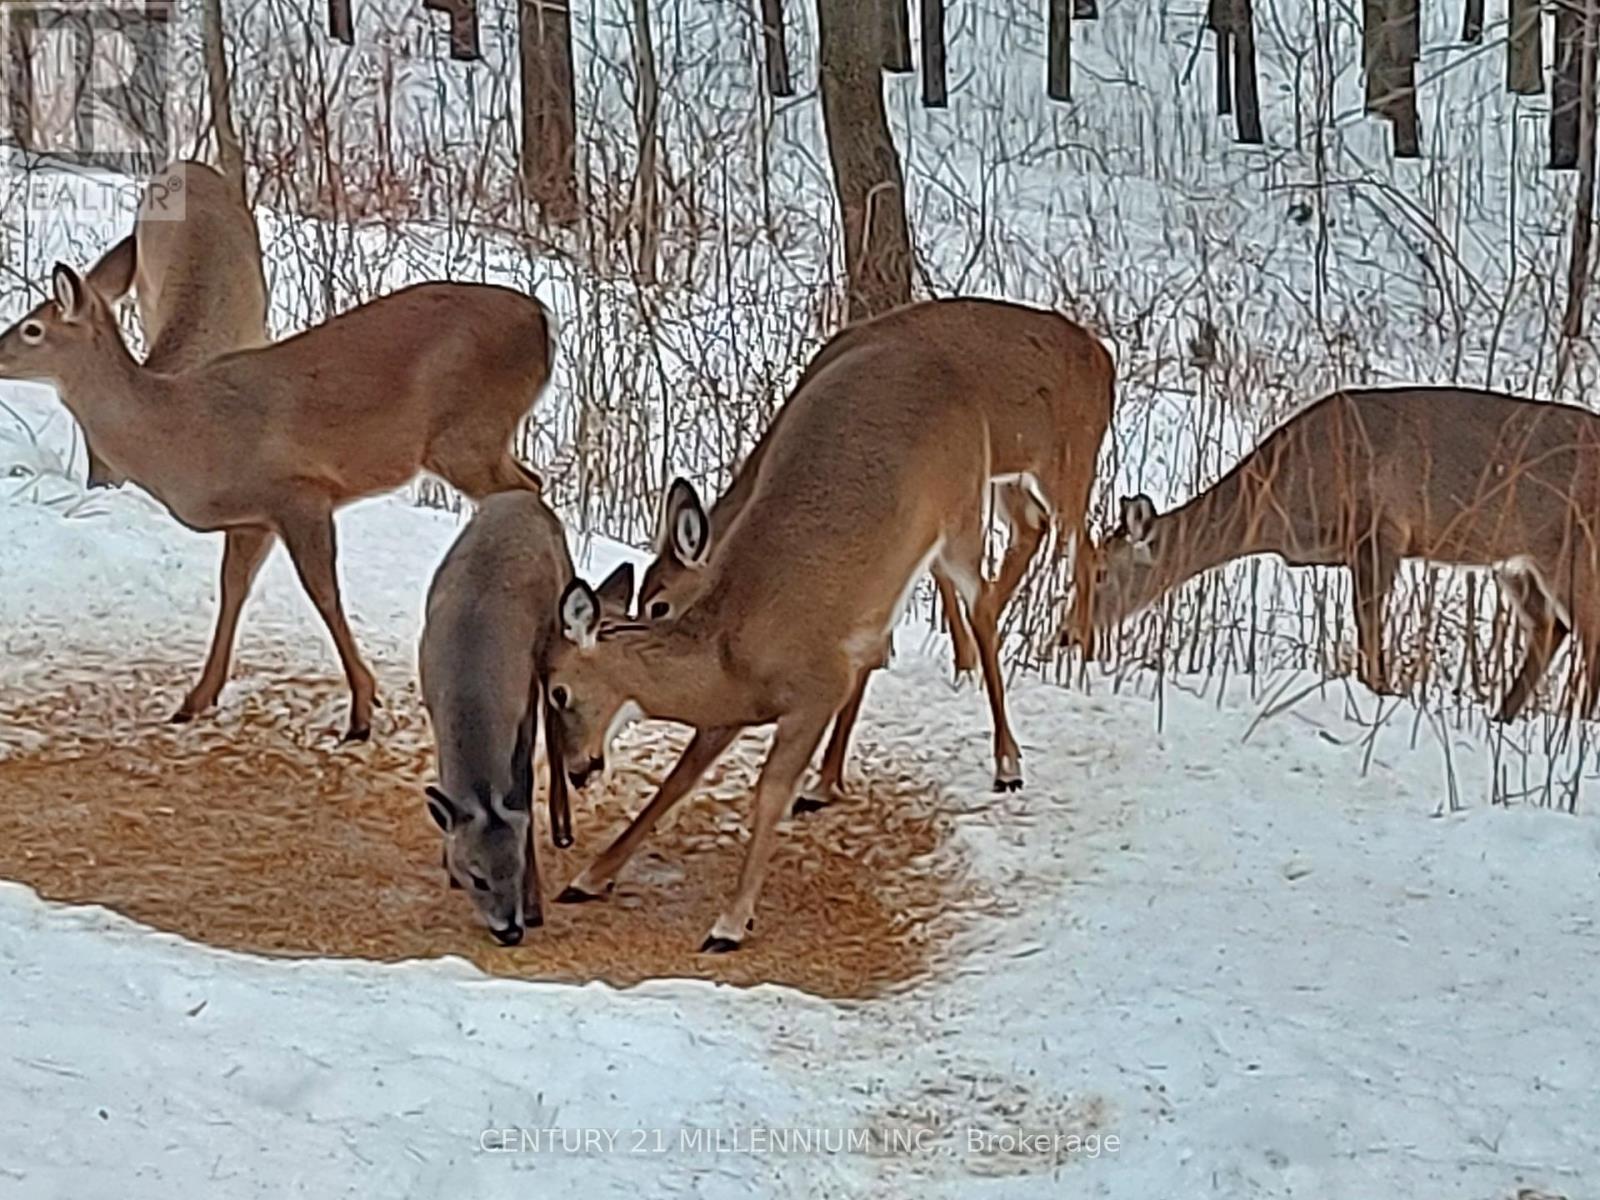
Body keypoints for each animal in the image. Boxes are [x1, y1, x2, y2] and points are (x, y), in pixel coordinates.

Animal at [0, 262, 550, 742]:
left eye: (32, 329)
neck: (181, 435)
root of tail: (543, 322)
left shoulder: (299, 493)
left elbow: (323, 593)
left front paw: (362, 710)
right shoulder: (253, 518)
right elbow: (232, 590)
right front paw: (194, 701)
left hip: (465, 433)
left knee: (527, 494)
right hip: (477, 438)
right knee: (533, 483)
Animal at [540, 310, 1075, 960]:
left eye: (559, 690)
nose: (576, 769)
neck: (729, 654)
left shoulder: (814, 689)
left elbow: (769, 789)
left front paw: (729, 923)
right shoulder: (728, 713)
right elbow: (678, 781)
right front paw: (590, 877)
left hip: (962, 518)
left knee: (985, 611)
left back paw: (1007, 764)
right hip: (893, 571)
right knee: (894, 638)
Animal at [633, 294, 1113, 800]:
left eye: (660, 604)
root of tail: (1103, 357)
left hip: (1068, 460)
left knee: (1081, 548)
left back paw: (1068, 665)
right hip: (1012, 475)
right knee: (1032, 528)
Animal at [1068, 387, 1600, 723]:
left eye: (1100, 573)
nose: (1069, 634)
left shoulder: (1379, 530)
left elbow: (1368, 622)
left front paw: (1379, 691)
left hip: (1576, 546)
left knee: (1589, 634)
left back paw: (1573, 726)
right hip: (1518, 560)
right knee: (1551, 627)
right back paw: (1503, 718)